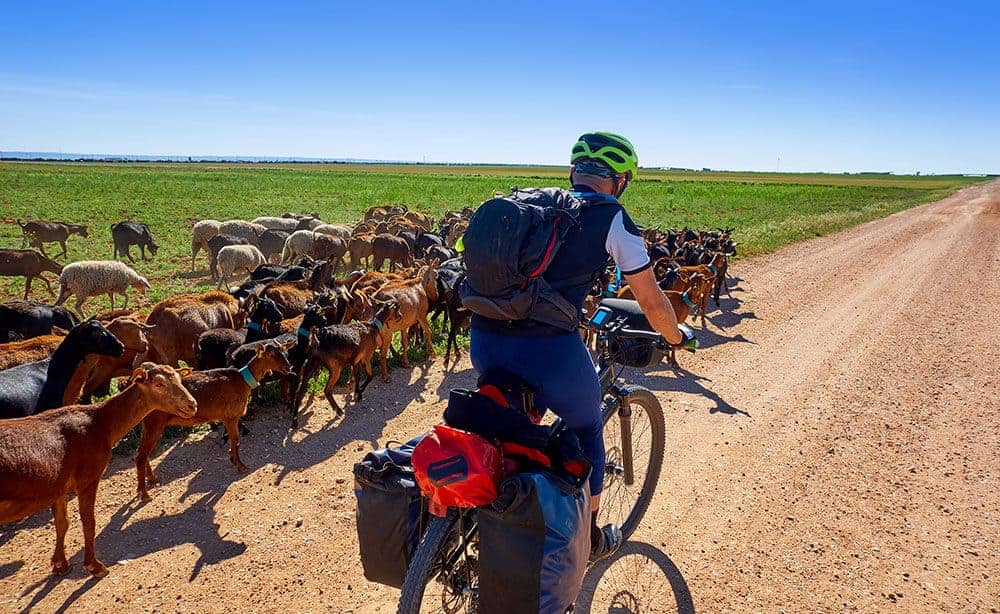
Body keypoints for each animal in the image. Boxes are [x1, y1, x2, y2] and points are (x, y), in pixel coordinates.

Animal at [0, 364, 196, 580]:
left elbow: (63, 523)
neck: (101, 424)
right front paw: (95, 566)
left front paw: (60, 564)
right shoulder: (88, 478)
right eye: (159, 384)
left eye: (179, 378)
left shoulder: (59, 487)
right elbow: (88, 522)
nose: (192, 405)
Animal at [136, 342, 292, 500]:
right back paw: (144, 493)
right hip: (154, 423)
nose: (288, 367)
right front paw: (240, 465)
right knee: (141, 456)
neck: (242, 381)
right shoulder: (231, 417)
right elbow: (236, 440)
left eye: (284, 350)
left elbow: (232, 440)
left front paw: (232, 458)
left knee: (143, 452)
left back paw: (152, 478)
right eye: (271, 354)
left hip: (149, 424)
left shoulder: (227, 418)